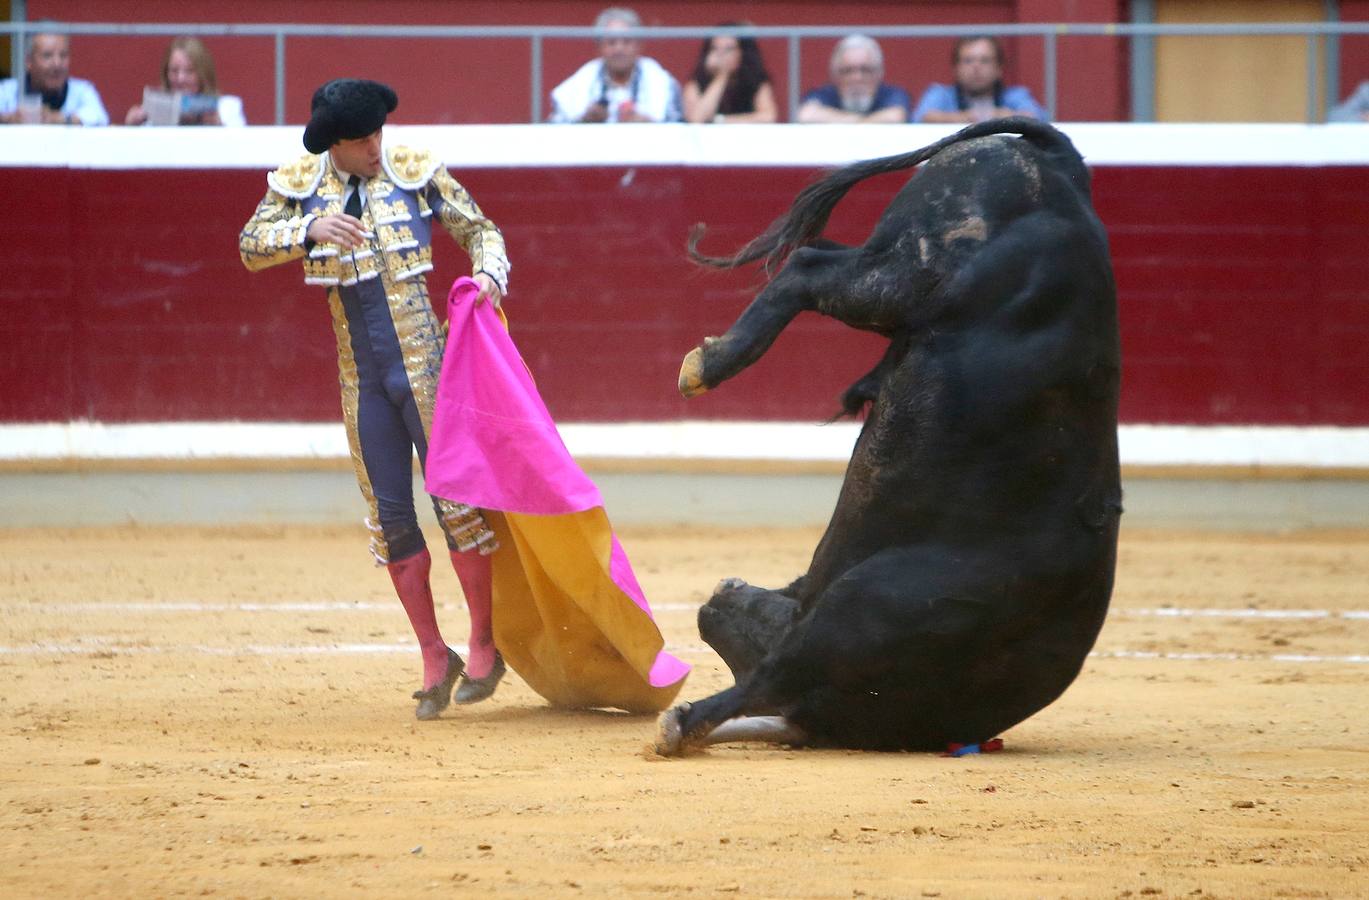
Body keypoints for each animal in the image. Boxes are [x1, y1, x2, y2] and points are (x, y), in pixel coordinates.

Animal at [654, 117, 1122, 750]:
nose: (726, 590)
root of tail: (1066, 170)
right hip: (909, 275)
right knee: (811, 266)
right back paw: (711, 365)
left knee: (816, 261)